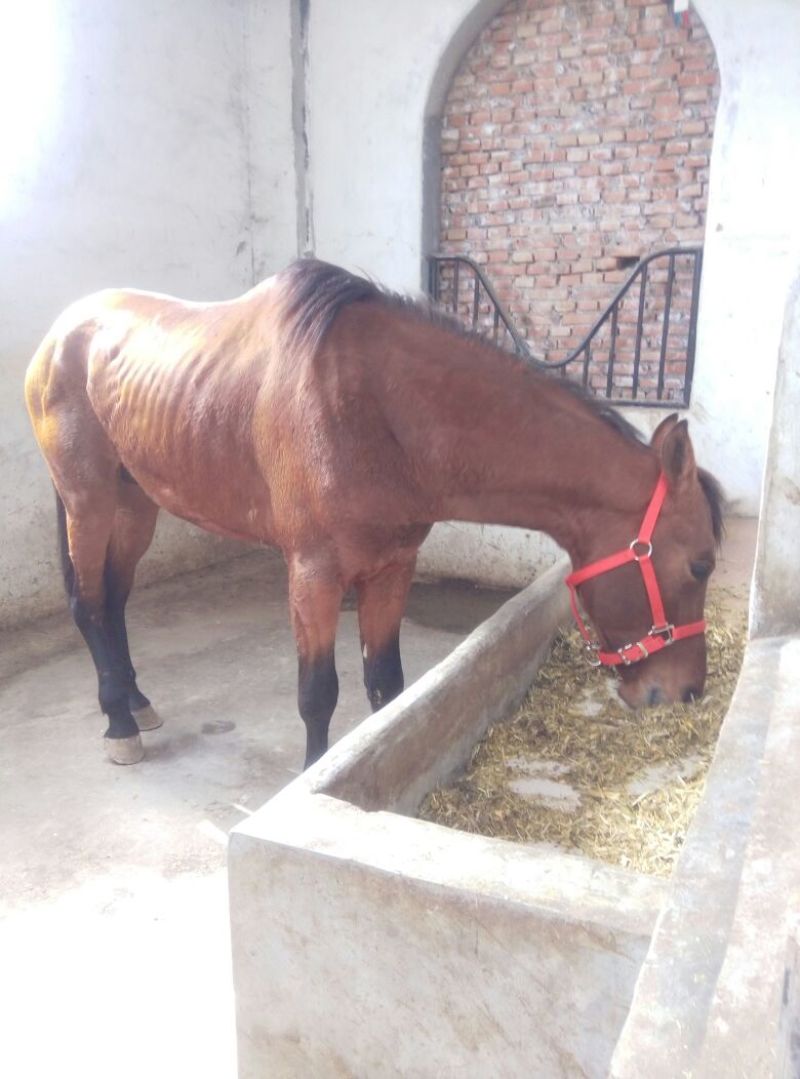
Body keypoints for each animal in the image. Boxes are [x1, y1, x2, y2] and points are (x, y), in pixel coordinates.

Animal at [24, 259, 723, 767]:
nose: (687, 691)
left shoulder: (392, 567)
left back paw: (137, 702)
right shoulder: (313, 575)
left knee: (115, 602)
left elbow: (387, 685)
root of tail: (60, 333)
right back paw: (118, 723)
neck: (373, 410)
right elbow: (318, 694)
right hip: (88, 502)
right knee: (90, 604)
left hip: (136, 504)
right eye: (701, 565)